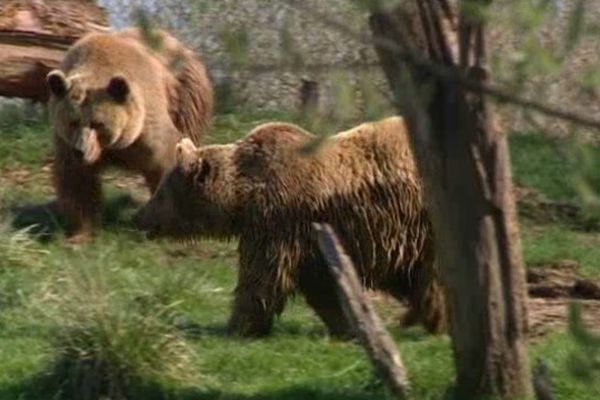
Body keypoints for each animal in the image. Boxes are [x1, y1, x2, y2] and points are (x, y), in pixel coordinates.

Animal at [48, 27, 214, 244]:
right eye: (73, 122)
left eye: (98, 124)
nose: (81, 151)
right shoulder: (67, 143)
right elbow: (77, 180)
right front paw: (79, 234)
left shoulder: (147, 126)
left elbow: (165, 161)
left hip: (184, 95)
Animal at [135, 116, 446, 338]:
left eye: (160, 193)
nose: (140, 216)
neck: (241, 196)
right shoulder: (311, 243)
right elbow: (322, 288)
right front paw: (345, 326)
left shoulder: (278, 222)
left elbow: (262, 278)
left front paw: (239, 325)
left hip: (423, 224)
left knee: (432, 274)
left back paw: (431, 317)